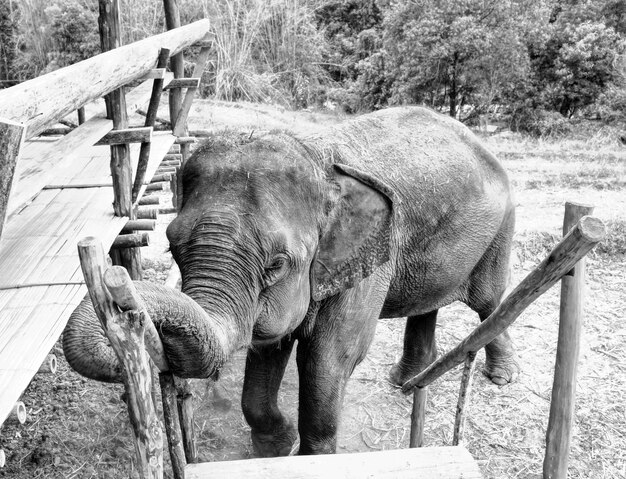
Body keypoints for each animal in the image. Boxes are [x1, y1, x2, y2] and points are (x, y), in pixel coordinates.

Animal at [66, 105, 520, 458]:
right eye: (174, 246)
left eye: (277, 264)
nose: (129, 309)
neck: (320, 159)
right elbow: (270, 345)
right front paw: (274, 448)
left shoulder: (368, 261)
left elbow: (329, 358)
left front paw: (311, 457)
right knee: (431, 303)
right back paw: (405, 377)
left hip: (502, 225)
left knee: (488, 301)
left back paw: (501, 377)